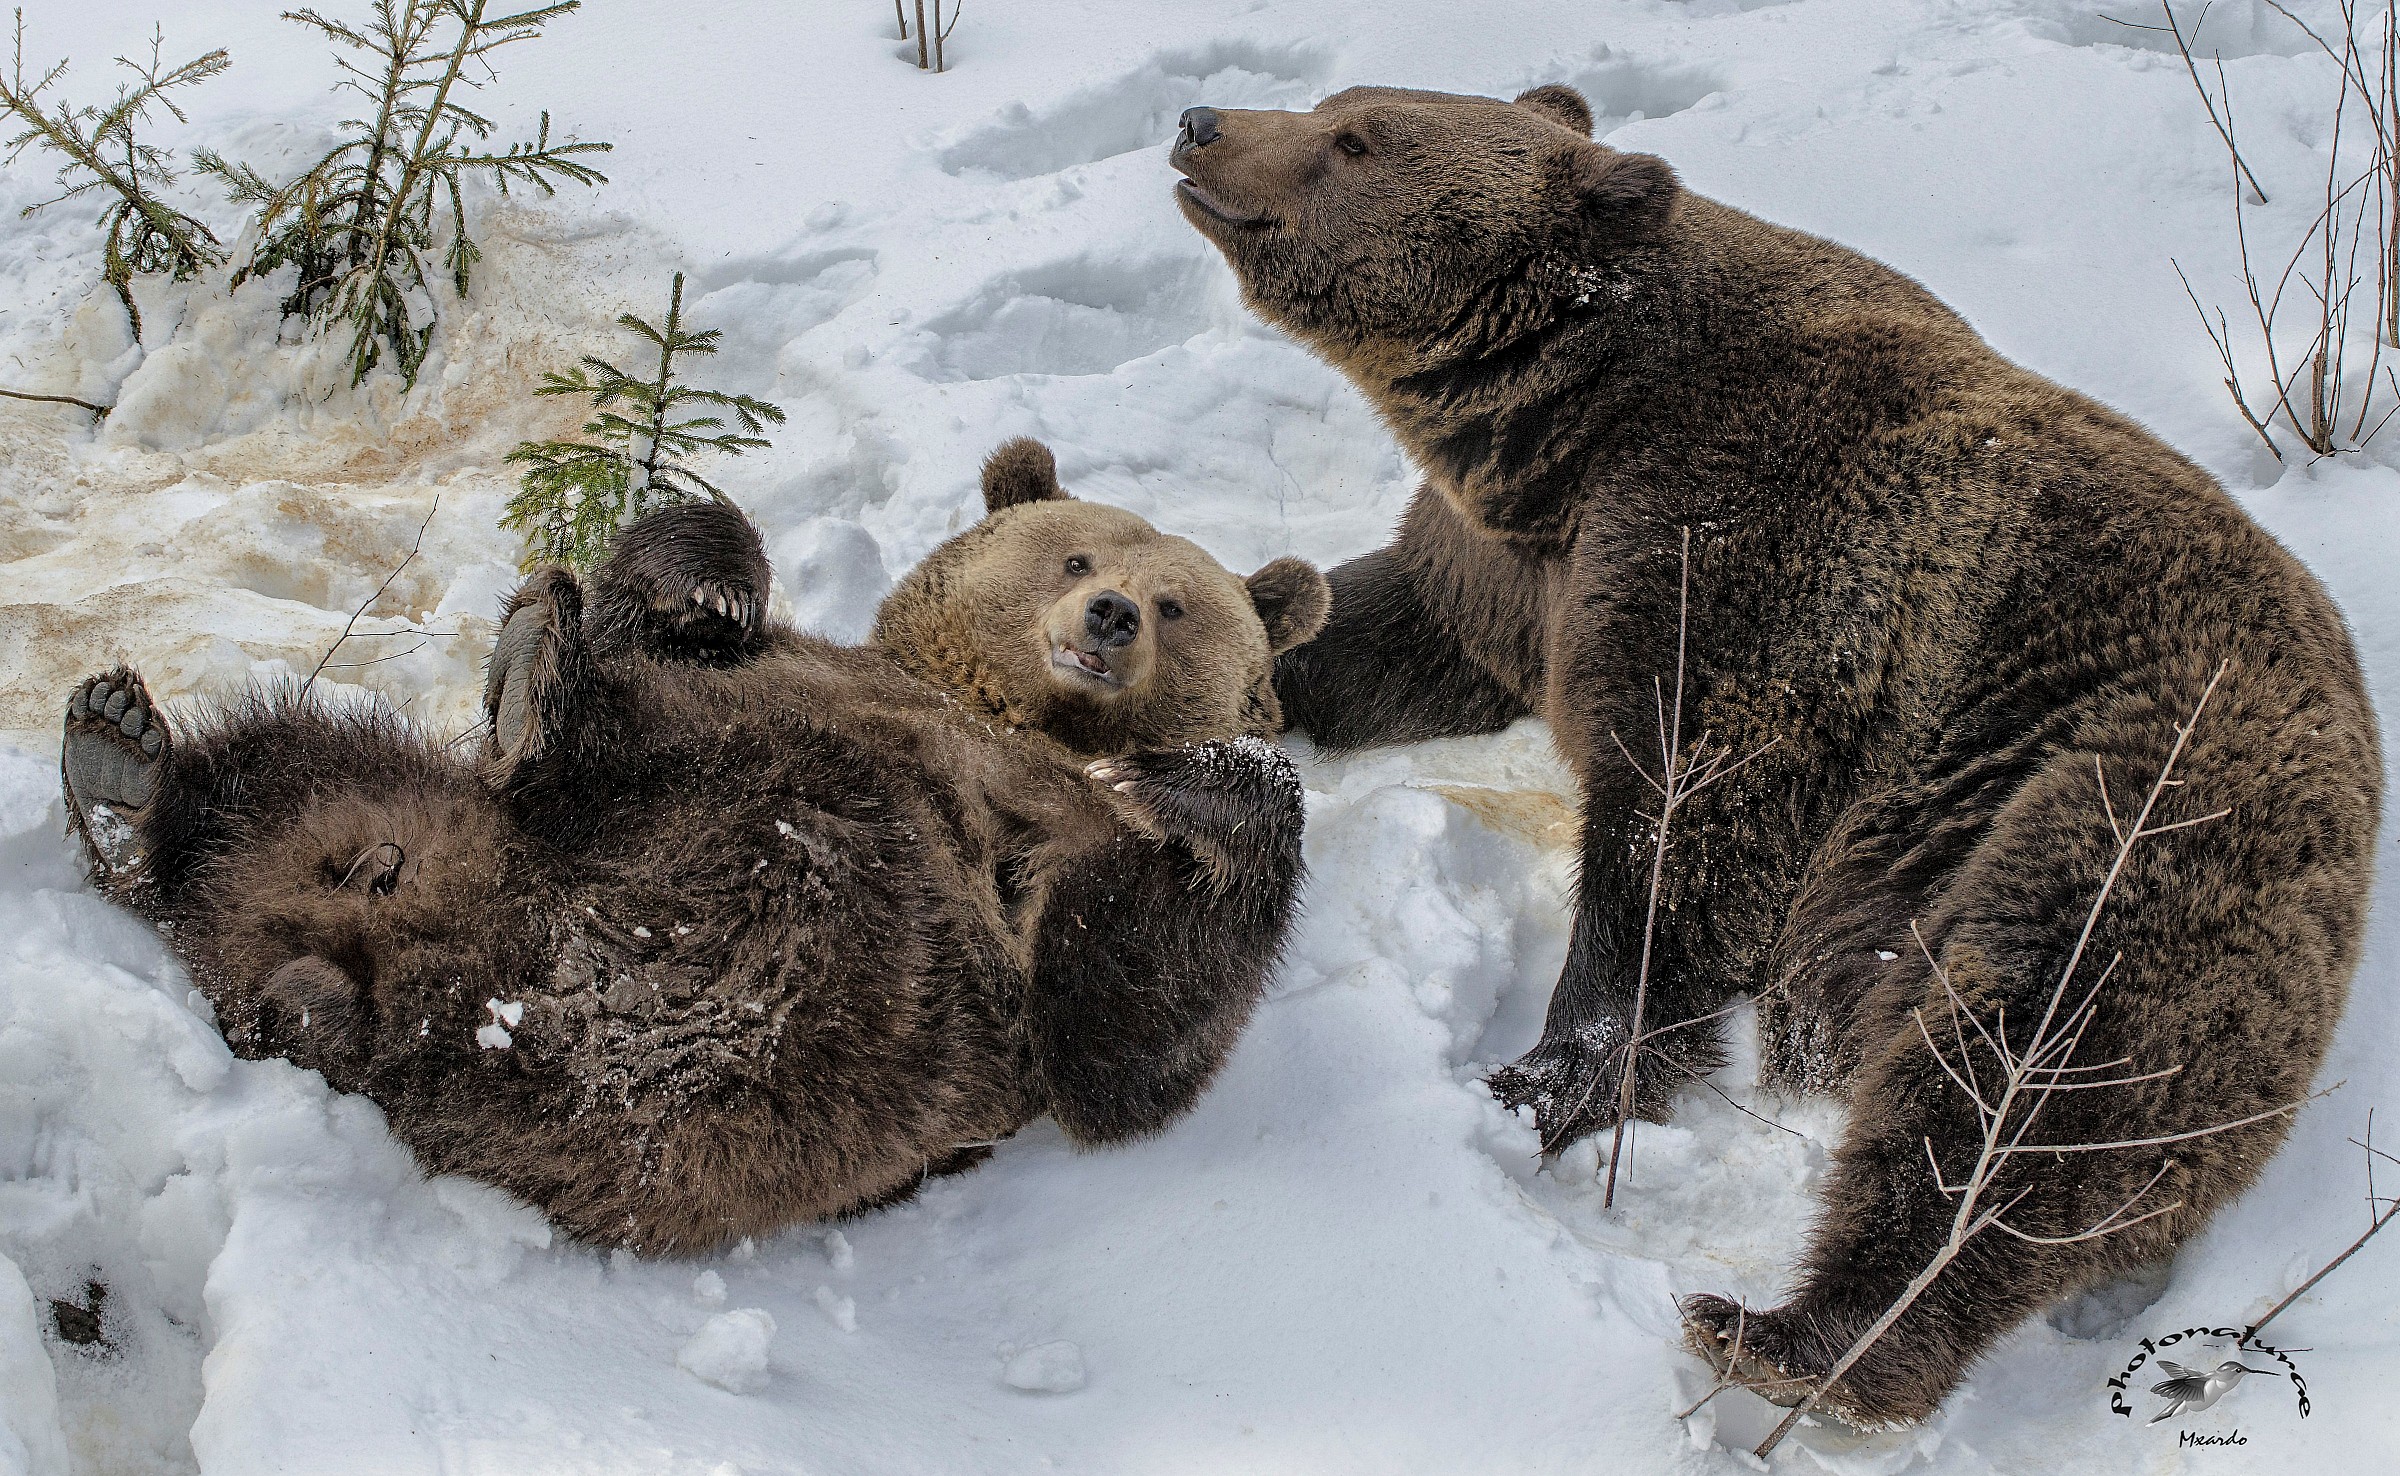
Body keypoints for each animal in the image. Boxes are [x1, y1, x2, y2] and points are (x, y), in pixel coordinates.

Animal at [58, 438, 1331, 1255]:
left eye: (1178, 604)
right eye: (1075, 558)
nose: (1110, 616)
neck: (1008, 718)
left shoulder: (1036, 873)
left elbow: (1127, 1027)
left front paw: (1202, 780)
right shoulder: (791, 672)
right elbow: (671, 606)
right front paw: (708, 580)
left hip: (777, 1069)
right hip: (444, 813)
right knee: (291, 763)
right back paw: (131, 766)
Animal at [1170, 84, 2382, 1425]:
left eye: (1357, 139)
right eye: (1339, 108)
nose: (1200, 121)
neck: (1574, 431)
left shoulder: (1756, 557)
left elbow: (1684, 836)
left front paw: (1548, 1074)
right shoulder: (1506, 571)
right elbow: (1369, 628)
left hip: (2124, 816)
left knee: (2017, 1079)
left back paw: (1787, 1332)